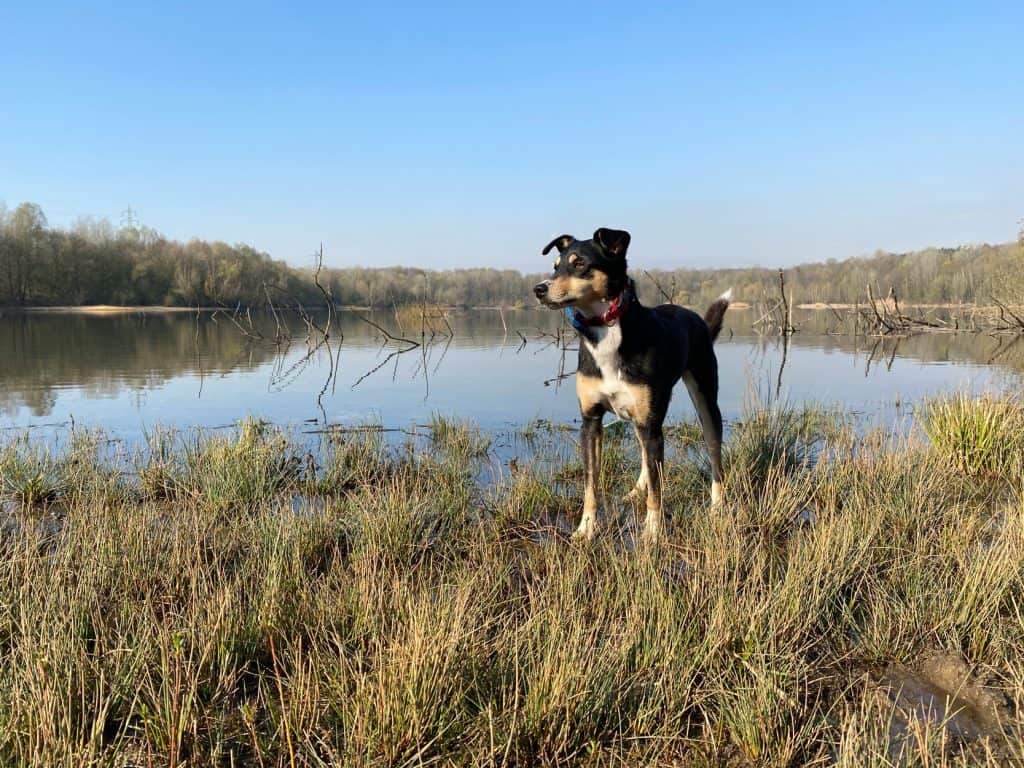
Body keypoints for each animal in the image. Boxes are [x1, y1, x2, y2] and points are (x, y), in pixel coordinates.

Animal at [532, 228, 733, 540]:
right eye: (555, 266)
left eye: (580, 264)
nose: (539, 289)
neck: (605, 333)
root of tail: (695, 316)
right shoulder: (591, 421)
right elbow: (591, 484)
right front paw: (586, 528)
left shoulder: (650, 425)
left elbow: (657, 490)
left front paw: (653, 532)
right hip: (642, 419)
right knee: (644, 458)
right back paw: (637, 490)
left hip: (705, 402)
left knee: (715, 457)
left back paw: (717, 506)